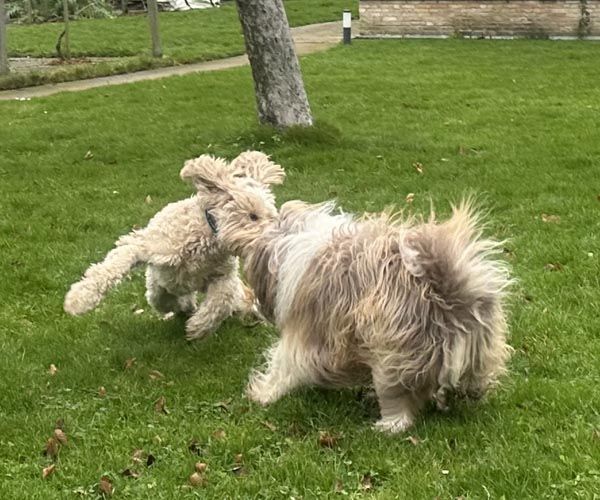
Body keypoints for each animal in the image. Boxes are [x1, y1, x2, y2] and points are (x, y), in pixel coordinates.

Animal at [63, 151, 283, 341]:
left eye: (273, 217)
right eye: (253, 216)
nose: (272, 242)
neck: (206, 237)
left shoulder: (224, 276)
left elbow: (221, 301)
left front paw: (198, 327)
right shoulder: (145, 245)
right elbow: (111, 267)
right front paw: (79, 299)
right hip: (155, 285)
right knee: (162, 299)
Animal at [195, 160, 512, 432]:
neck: (290, 241)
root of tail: (447, 292)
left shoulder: (306, 333)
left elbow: (283, 363)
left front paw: (263, 392)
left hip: (392, 352)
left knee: (400, 407)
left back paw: (385, 423)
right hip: (475, 351)